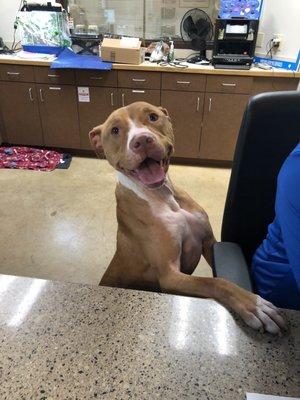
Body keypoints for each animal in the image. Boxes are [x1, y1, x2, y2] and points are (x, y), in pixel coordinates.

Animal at [89, 101, 286, 334]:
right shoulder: (169, 274)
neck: (164, 196)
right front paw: (254, 305)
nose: (142, 140)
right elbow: (216, 283)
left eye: (153, 117)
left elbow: (219, 276)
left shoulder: (210, 243)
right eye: (115, 130)